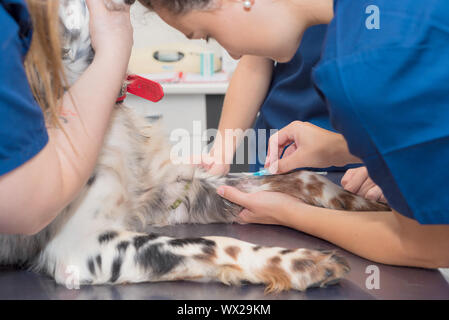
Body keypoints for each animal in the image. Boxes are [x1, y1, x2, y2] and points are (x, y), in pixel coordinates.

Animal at [0, 0, 386, 294]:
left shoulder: (177, 192)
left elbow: (304, 177)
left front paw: (367, 201)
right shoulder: (82, 244)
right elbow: (213, 243)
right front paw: (301, 262)